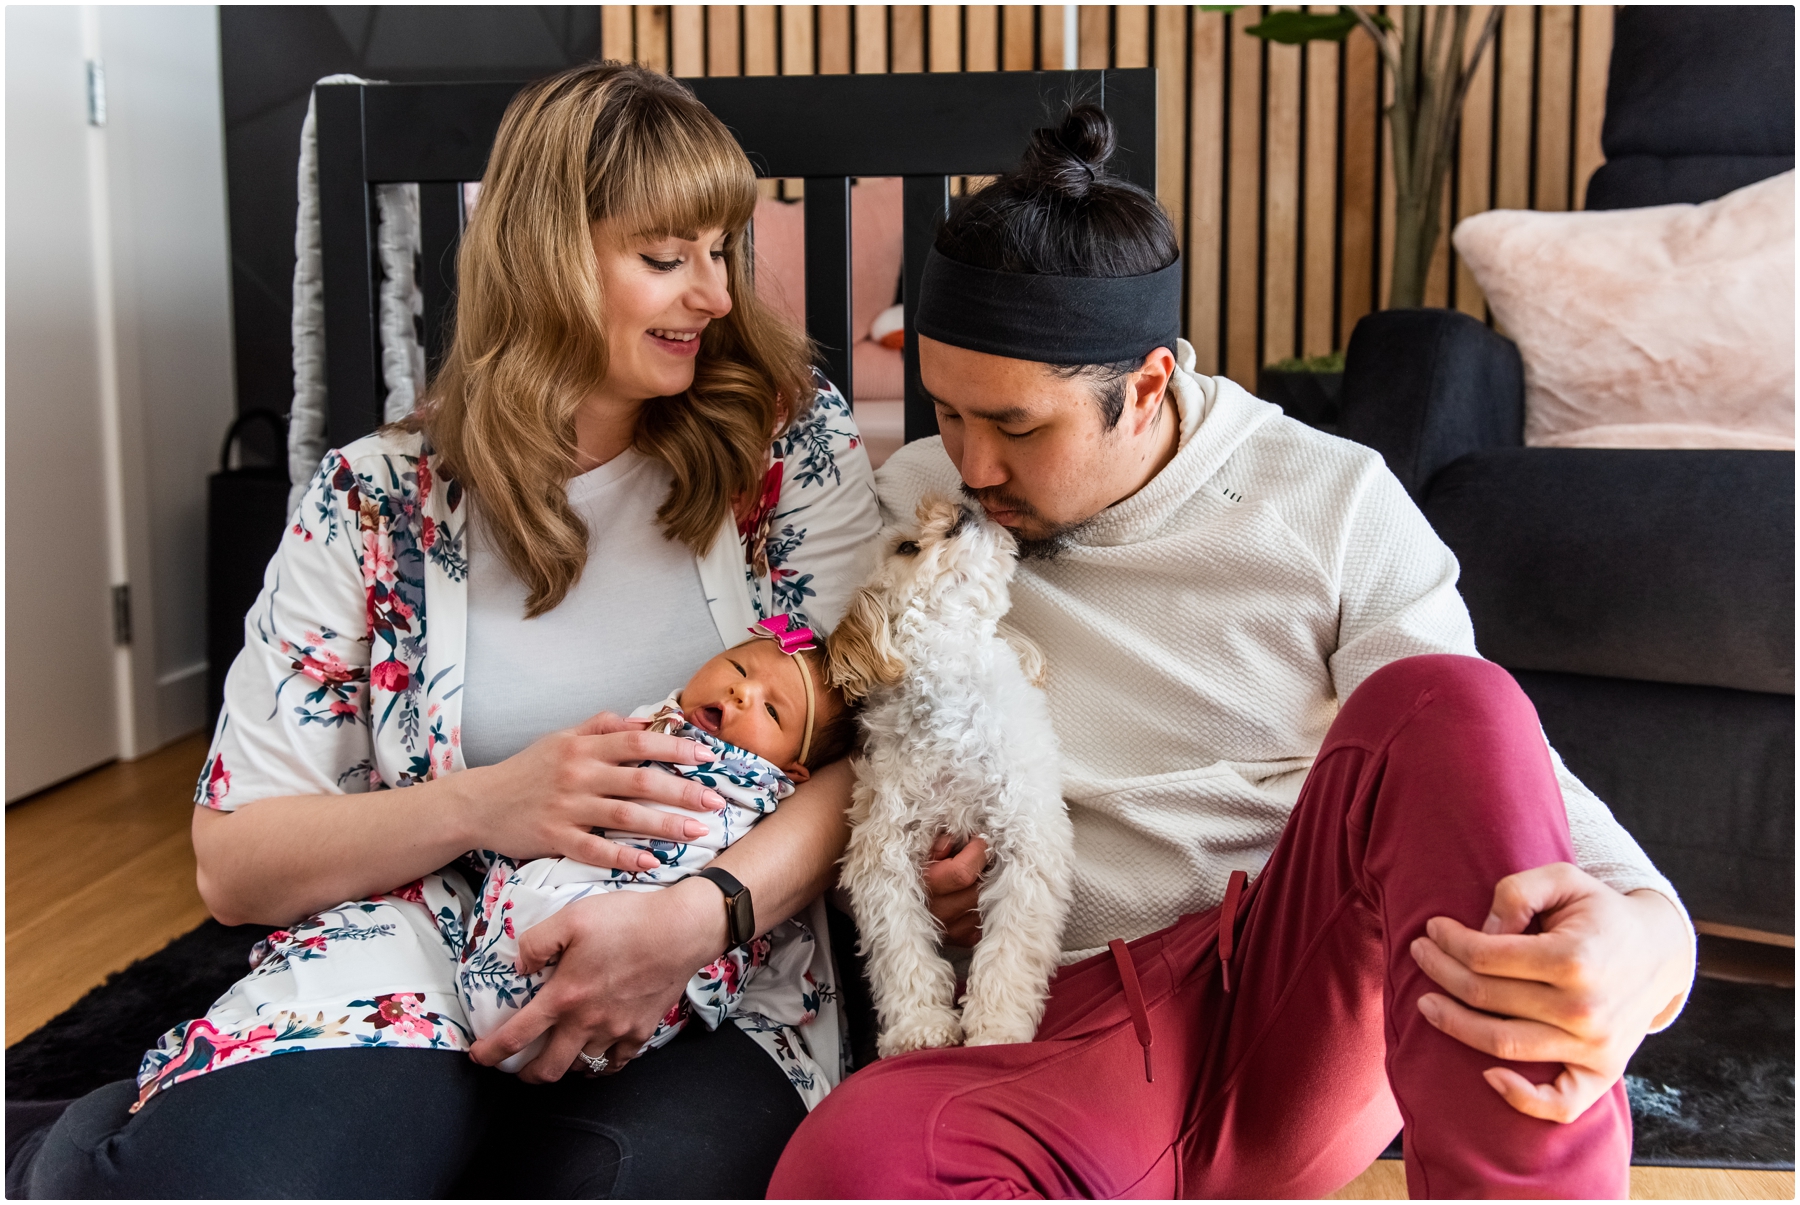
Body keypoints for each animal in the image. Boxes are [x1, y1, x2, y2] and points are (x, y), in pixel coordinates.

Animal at [824, 489, 1065, 1051]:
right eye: (907, 547)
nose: (957, 506)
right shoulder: (883, 850)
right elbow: (900, 947)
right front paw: (919, 1027)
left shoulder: (1026, 838)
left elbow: (1011, 948)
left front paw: (997, 1029)